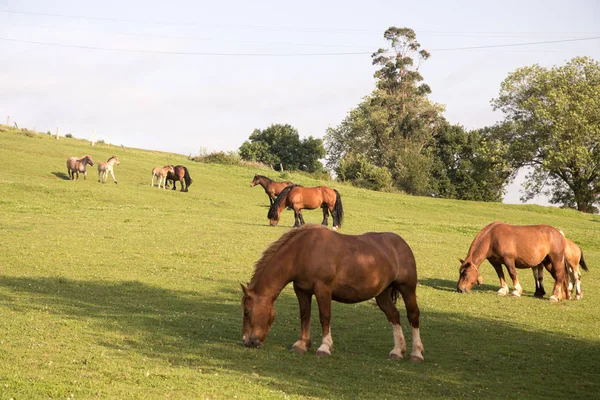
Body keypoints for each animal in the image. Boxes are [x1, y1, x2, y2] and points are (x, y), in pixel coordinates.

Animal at [241, 225, 424, 362]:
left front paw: (324, 347)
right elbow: (305, 315)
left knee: (413, 316)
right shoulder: (301, 290)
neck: (302, 251)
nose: (247, 341)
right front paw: (301, 345)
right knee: (394, 316)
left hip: (407, 288)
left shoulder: (323, 289)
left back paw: (416, 353)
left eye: (247, 312)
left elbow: (325, 317)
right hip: (382, 294)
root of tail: (401, 243)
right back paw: (397, 351)